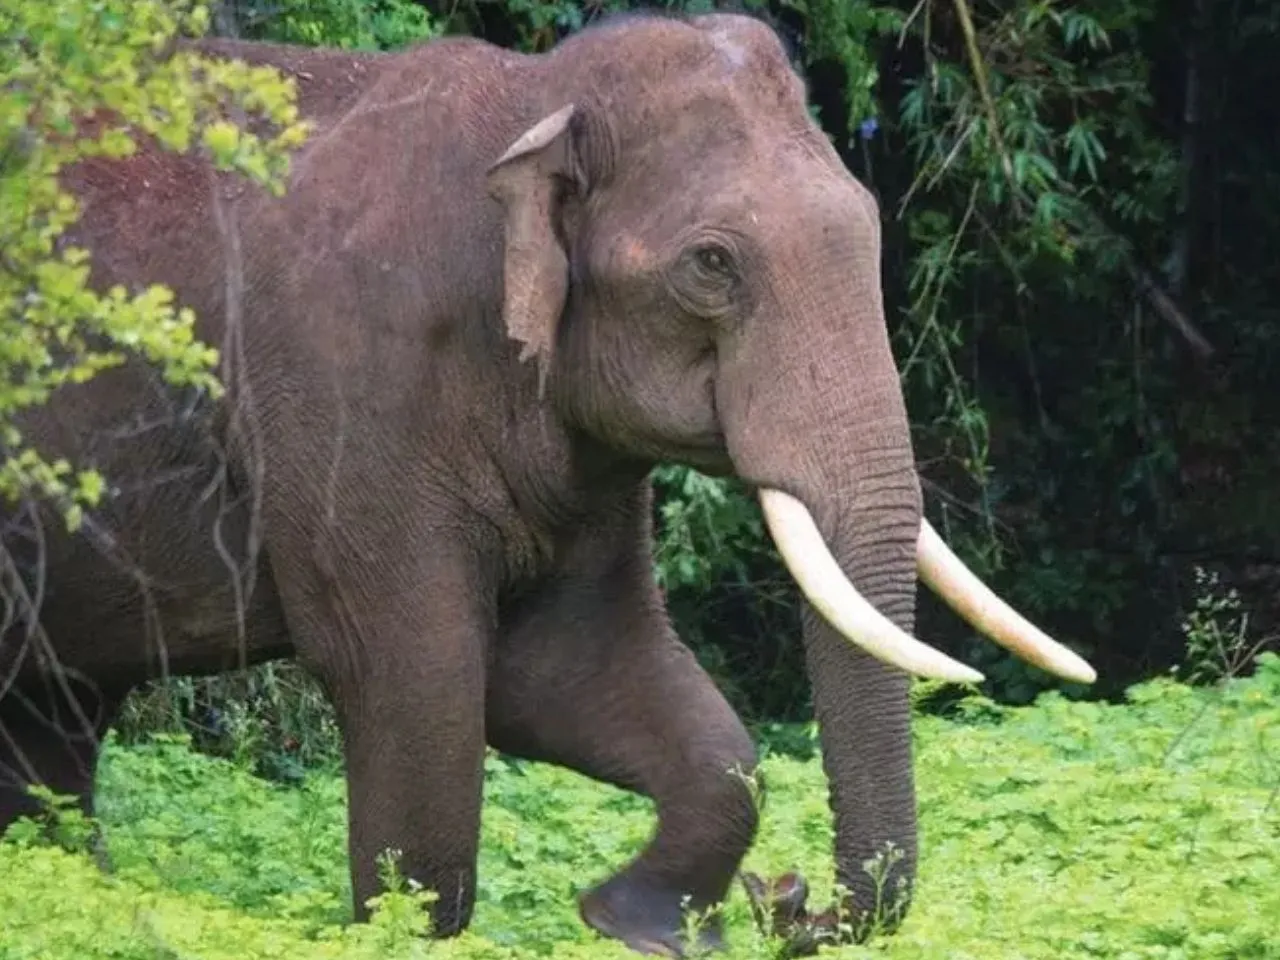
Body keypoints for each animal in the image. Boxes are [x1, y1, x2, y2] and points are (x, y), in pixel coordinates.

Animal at [0, 10, 1096, 956]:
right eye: (712, 264)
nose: (787, 902)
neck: (534, 100)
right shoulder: (346, 389)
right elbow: (415, 677)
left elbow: (575, 671)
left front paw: (632, 923)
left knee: (55, 721)